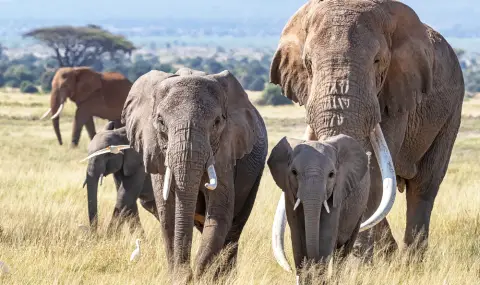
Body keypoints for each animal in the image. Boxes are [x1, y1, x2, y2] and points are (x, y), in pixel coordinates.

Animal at [120, 67, 268, 280]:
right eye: (161, 121)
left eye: (217, 122)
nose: (188, 274)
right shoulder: (157, 151)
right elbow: (168, 213)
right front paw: (180, 277)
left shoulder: (226, 151)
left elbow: (220, 212)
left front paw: (199, 276)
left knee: (234, 228)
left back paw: (225, 277)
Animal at [268, 135, 370, 278]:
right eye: (294, 172)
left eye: (331, 174)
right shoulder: (289, 193)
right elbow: (297, 237)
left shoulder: (337, 192)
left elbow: (325, 238)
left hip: (361, 207)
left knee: (343, 251)